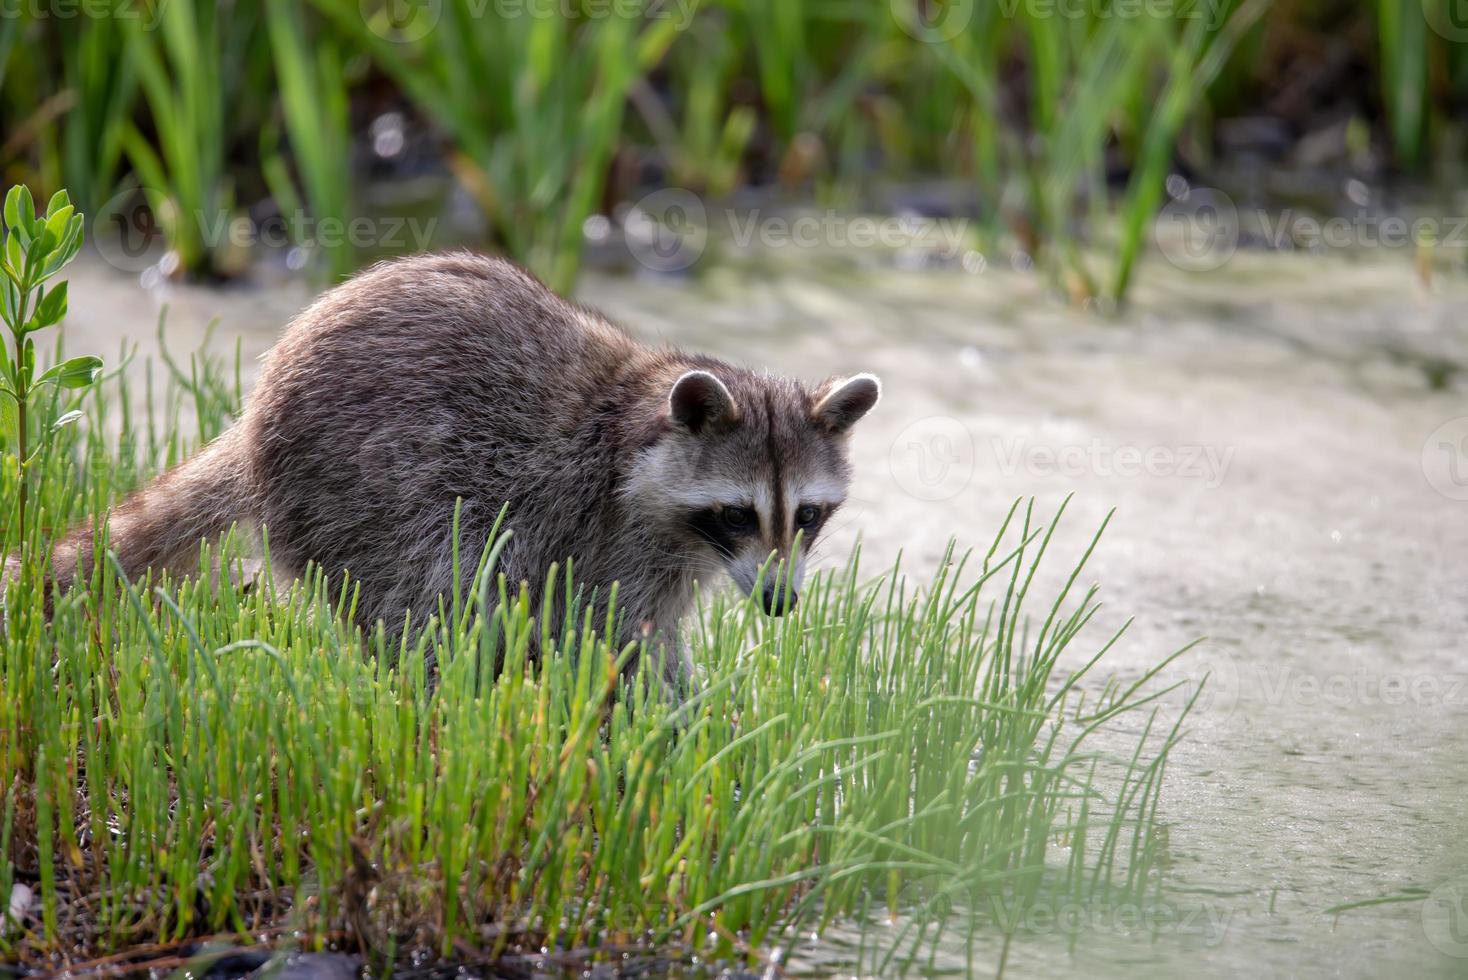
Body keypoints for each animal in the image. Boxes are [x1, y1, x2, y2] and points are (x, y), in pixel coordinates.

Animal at [45, 256, 874, 692]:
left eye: (806, 515)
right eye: (737, 513)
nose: (779, 604)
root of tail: (254, 423)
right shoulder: (608, 534)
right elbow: (613, 634)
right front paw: (679, 721)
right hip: (364, 485)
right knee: (431, 592)